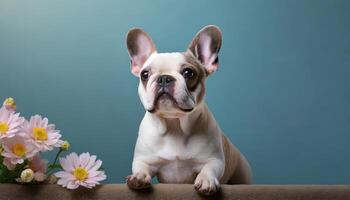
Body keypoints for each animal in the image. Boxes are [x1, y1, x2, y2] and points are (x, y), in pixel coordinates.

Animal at [126, 25, 252, 195]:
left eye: (188, 73)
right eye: (145, 74)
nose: (164, 78)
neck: (174, 124)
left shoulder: (215, 160)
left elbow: (209, 168)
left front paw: (206, 181)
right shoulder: (144, 159)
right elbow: (141, 167)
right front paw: (138, 177)